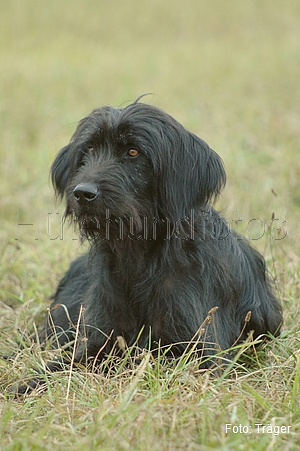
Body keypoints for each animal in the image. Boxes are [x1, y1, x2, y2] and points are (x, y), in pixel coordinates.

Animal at [39, 100, 282, 372]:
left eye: (133, 152)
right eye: (89, 149)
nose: (82, 193)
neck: (139, 258)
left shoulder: (200, 353)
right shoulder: (98, 341)